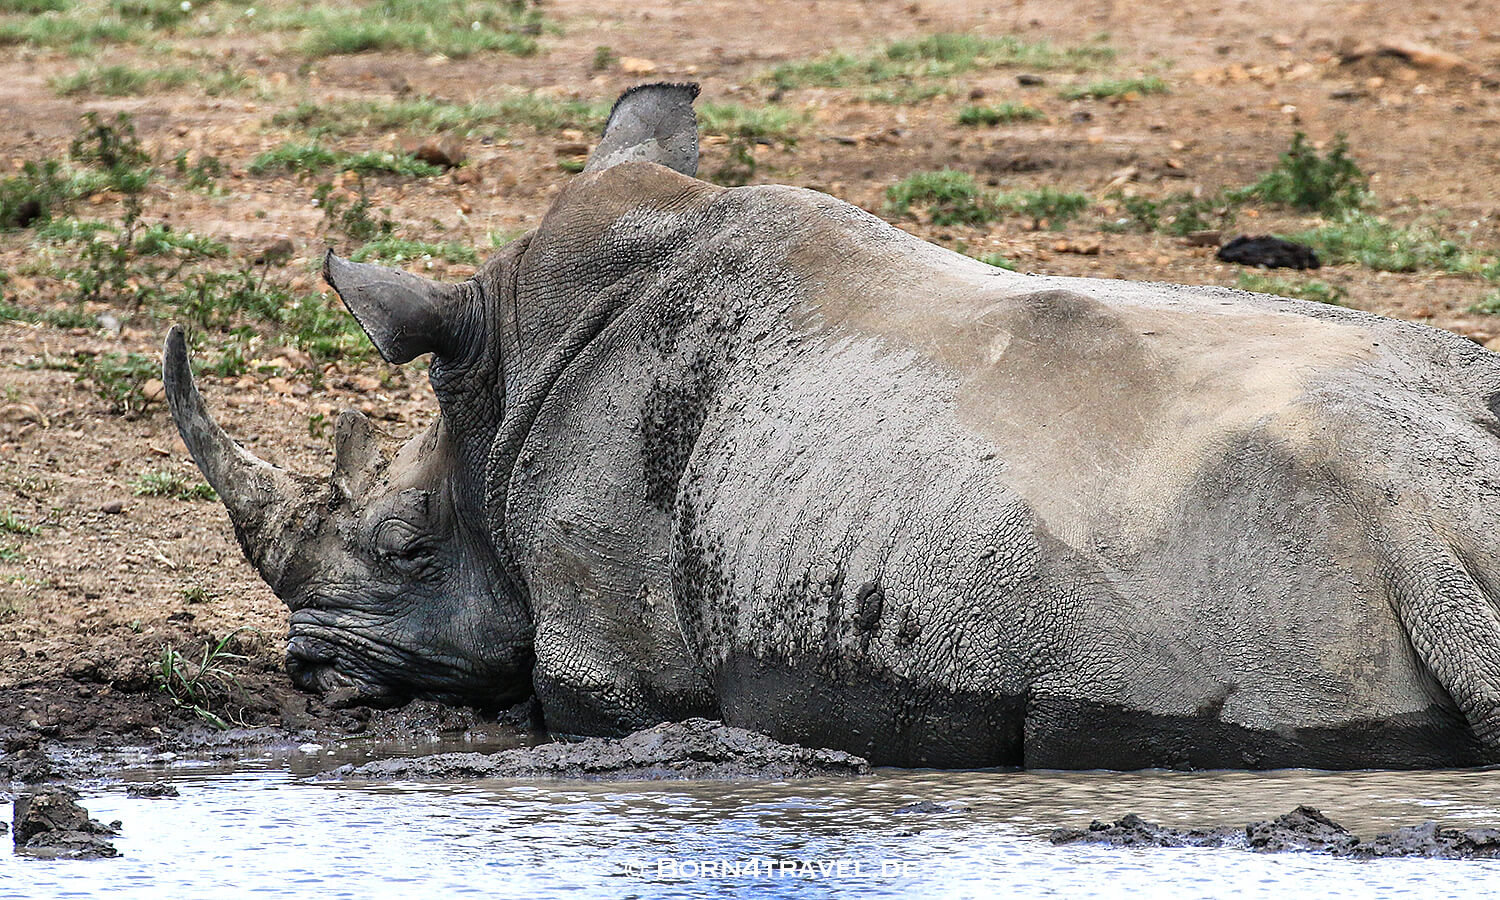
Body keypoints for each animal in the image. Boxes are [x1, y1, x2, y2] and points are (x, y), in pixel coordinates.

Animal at [164, 83, 1500, 770]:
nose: (309, 672)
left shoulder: (609, 662)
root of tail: (1435, 524)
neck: (509, 370)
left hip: (1271, 570)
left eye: (406, 547)